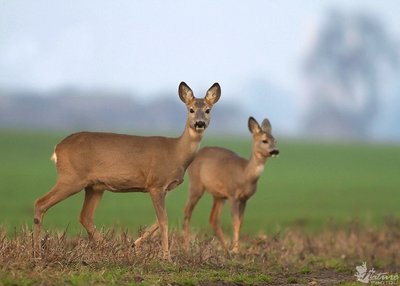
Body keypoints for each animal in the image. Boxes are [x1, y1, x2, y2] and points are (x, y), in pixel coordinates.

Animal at [33, 81, 222, 260]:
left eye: (207, 110)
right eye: (191, 110)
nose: (199, 123)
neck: (176, 152)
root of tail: (58, 148)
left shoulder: (164, 188)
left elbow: (158, 220)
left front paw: (134, 246)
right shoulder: (156, 183)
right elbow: (164, 220)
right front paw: (166, 257)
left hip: (94, 186)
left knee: (85, 216)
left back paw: (111, 250)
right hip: (71, 178)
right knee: (41, 203)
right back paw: (38, 252)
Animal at [182, 116, 278, 252]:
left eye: (275, 140)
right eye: (264, 141)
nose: (275, 151)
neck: (245, 174)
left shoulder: (244, 199)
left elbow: (241, 222)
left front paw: (235, 247)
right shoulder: (233, 195)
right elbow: (235, 222)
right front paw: (236, 249)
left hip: (218, 196)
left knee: (213, 219)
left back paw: (224, 247)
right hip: (196, 184)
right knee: (187, 212)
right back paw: (185, 246)